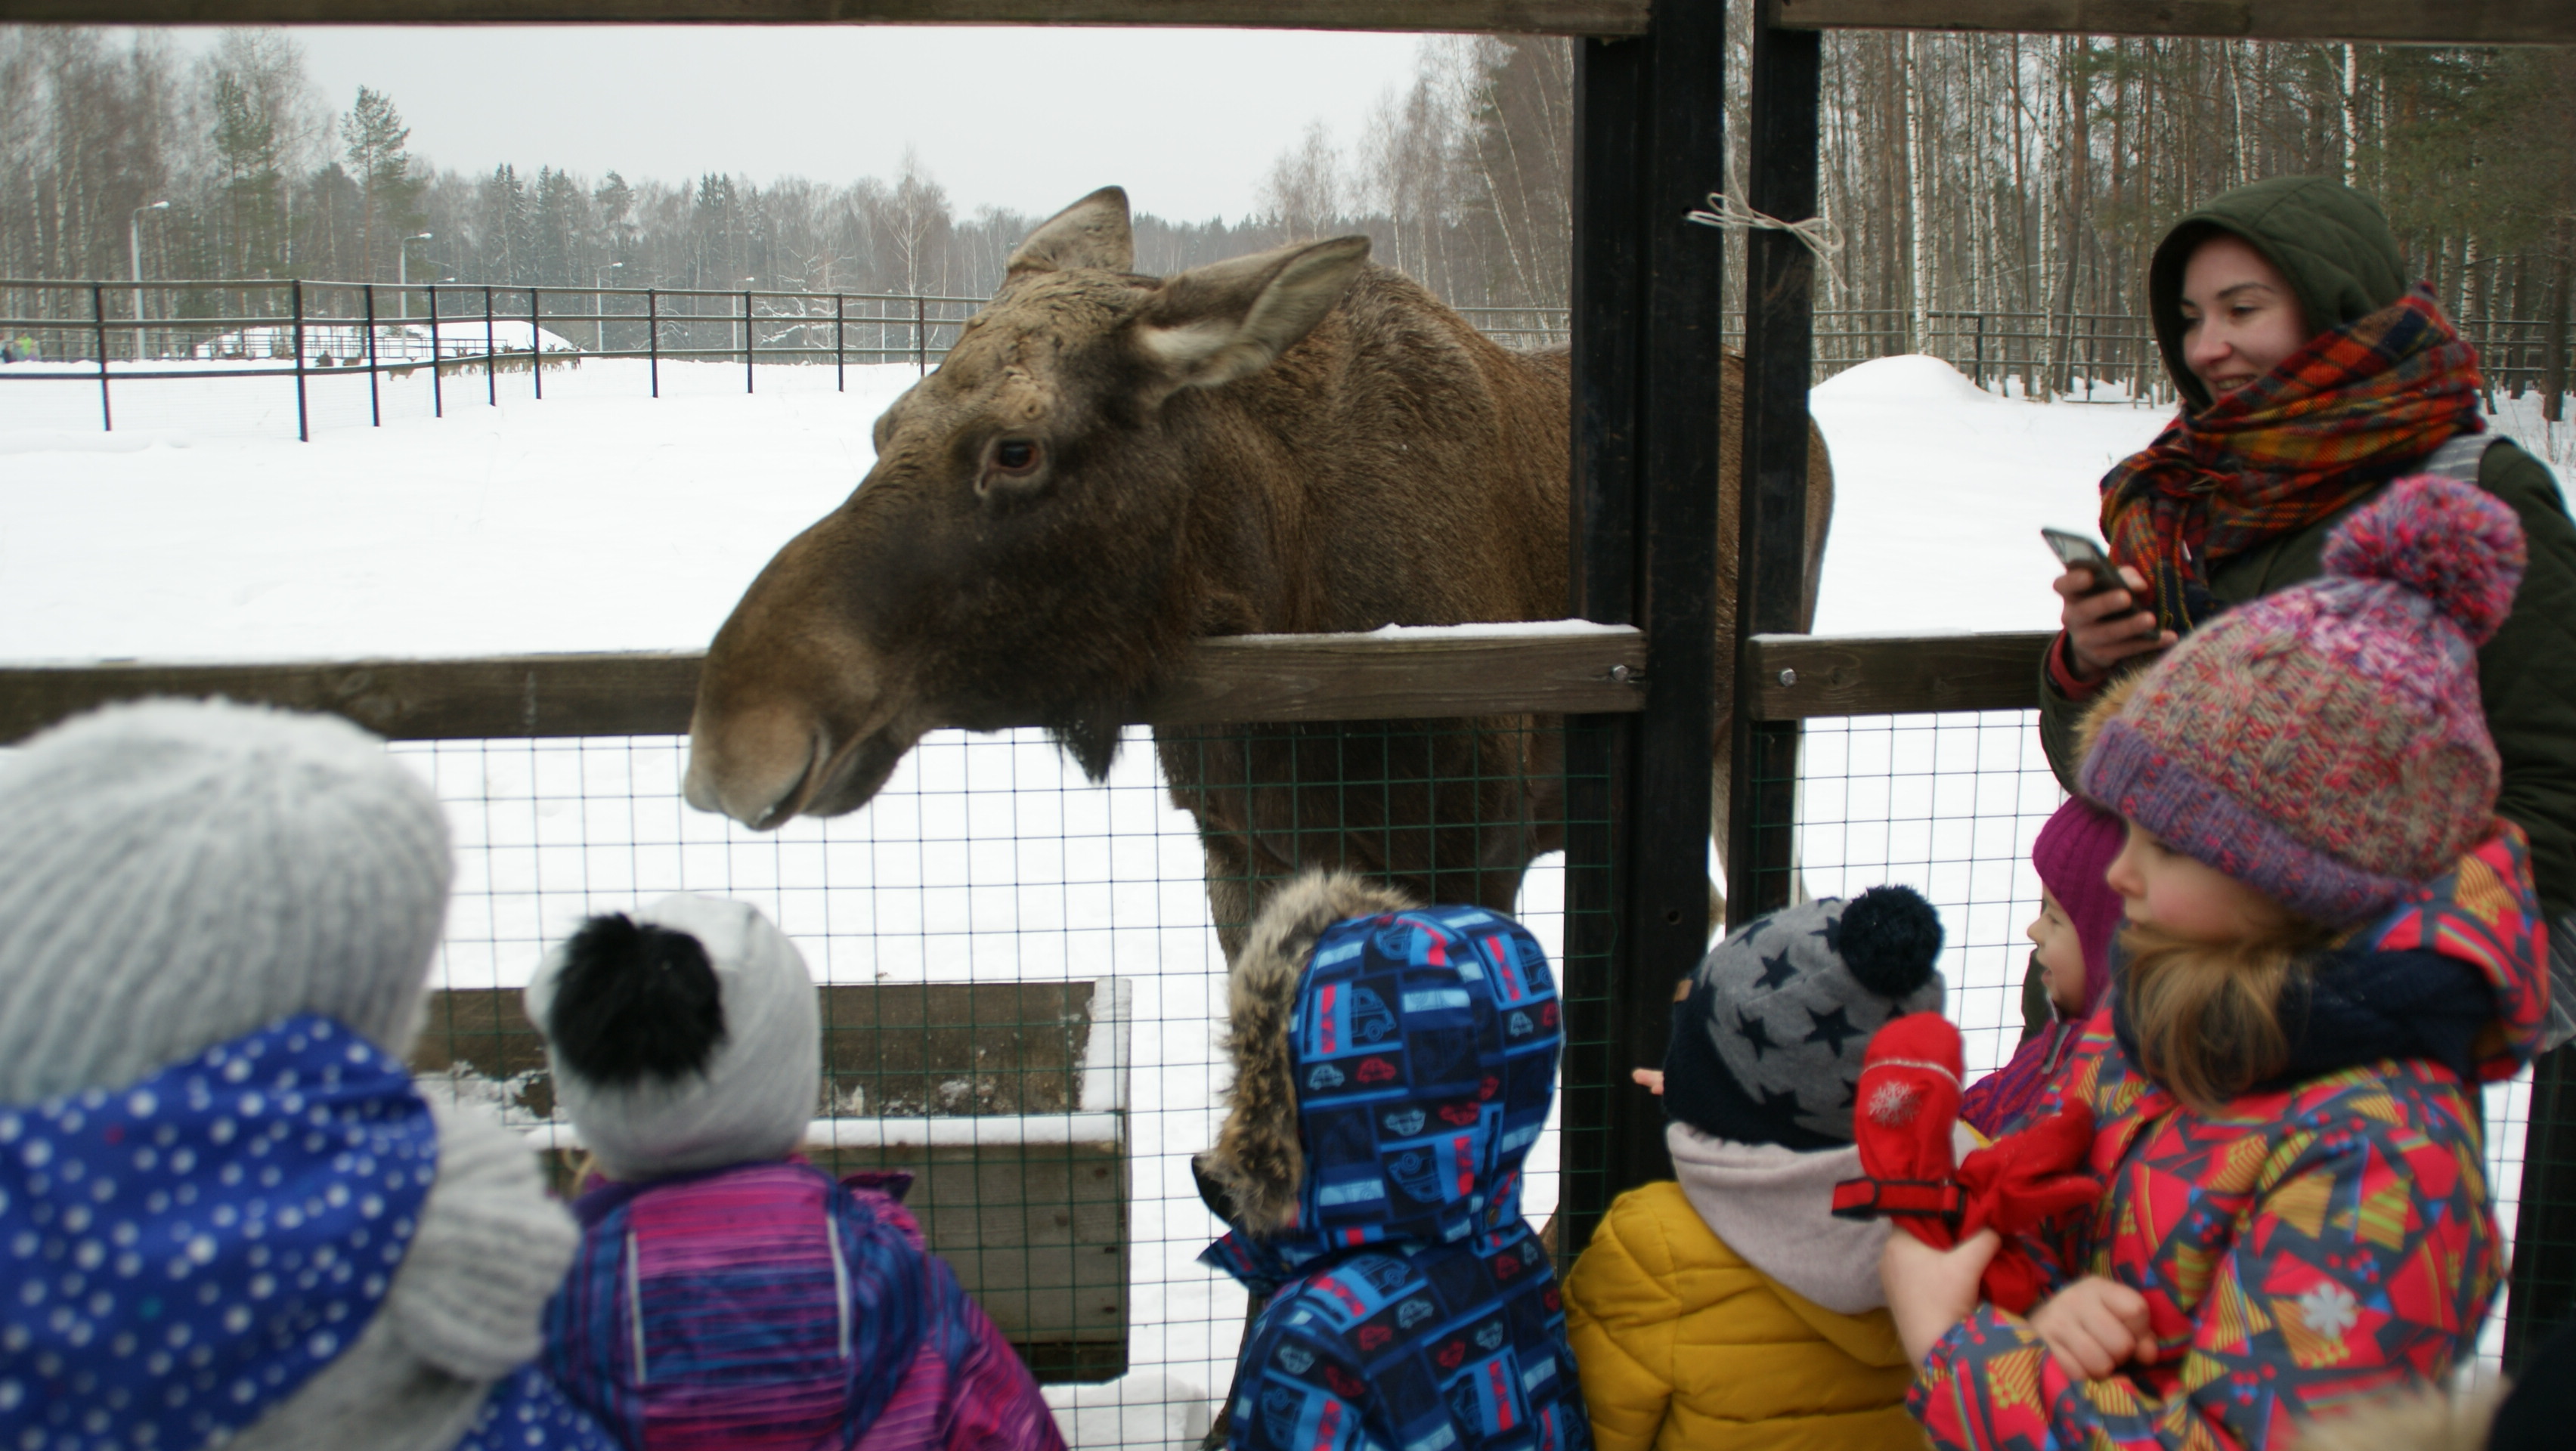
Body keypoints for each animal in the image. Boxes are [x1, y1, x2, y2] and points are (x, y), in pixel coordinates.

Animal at [674, 187, 1823, 958]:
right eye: (883, 426)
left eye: (1018, 448)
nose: (740, 733)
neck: (1278, 586)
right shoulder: (1239, 853)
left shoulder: (1471, 856)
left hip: (1749, 727)